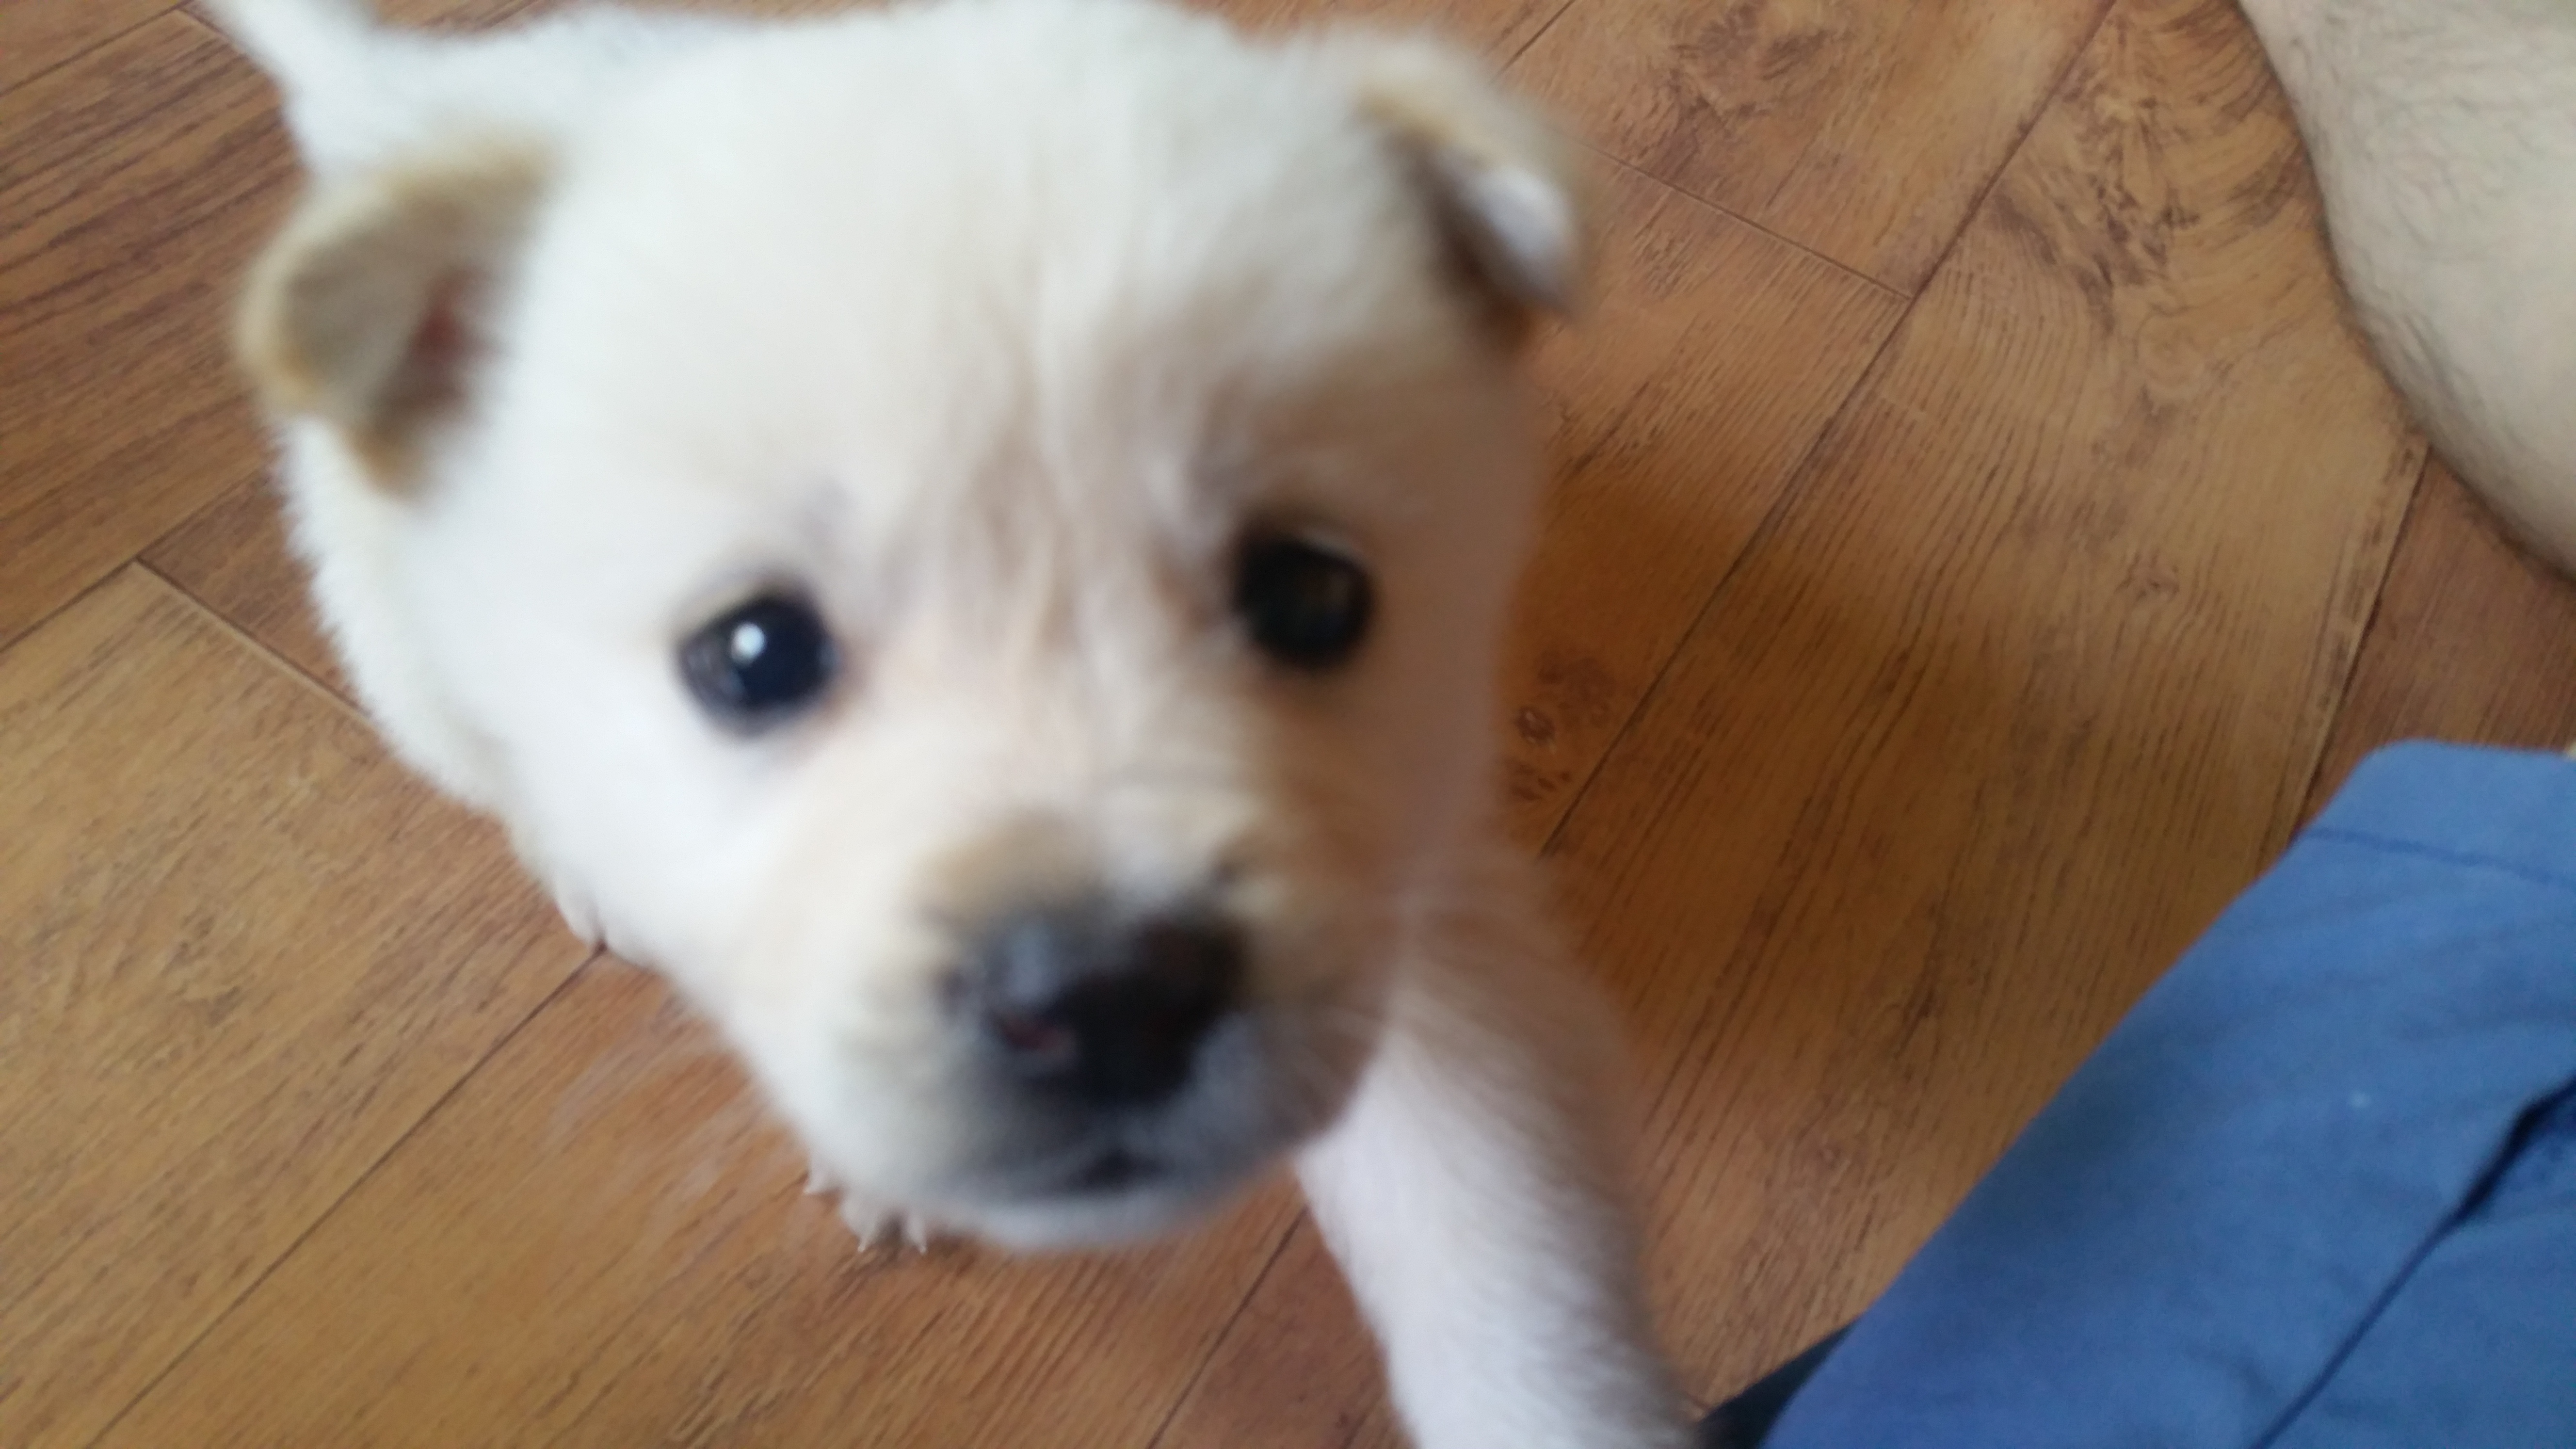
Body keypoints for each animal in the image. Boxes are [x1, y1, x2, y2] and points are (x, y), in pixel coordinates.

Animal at [205, 2, 1690, 1444]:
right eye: (752, 656)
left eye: (1311, 596)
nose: (1107, 996)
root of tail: (432, 100)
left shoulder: (1427, 924)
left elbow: (1508, 1263)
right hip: (405, 655)